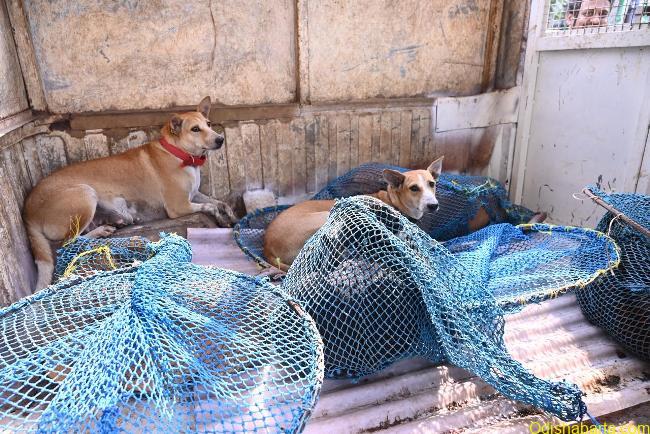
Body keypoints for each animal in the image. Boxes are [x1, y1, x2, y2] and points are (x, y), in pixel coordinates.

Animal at [24, 96, 237, 290]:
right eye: (195, 129)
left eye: (208, 124)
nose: (220, 139)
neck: (179, 154)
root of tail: (27, 212)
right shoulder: (179, 207)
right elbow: (210, 206)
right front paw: (221, 218)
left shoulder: (194, 194)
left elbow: (219, 202)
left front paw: (231, 217)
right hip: (85, 193)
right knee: (68, 243)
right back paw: (102, 230)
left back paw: (114, 222)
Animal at [264, 157, 444, 271]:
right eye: (414, 188)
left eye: (431, 184)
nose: (433, 205)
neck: (393, 201)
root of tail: (267, 247)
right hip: (326, 219)